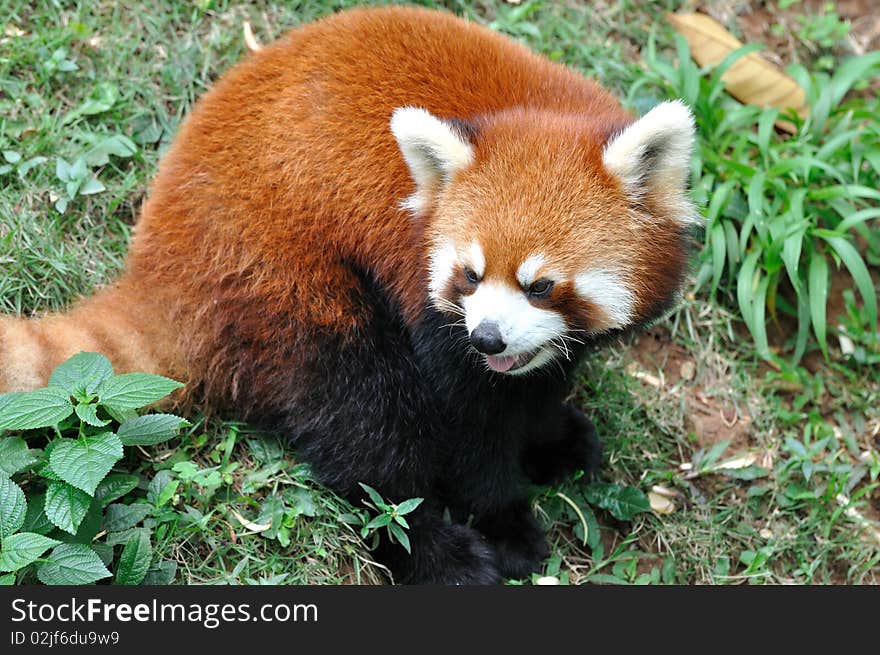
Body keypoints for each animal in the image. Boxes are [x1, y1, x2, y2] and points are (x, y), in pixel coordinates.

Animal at [1, 6, 700, 584]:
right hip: (287, 284)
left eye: (541, 286)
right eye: (470, 276)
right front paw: (505, 522)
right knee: (365, 417)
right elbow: (468, 427)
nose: (487, 337)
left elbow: (541, 382)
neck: (538, 109)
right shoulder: (424, 302)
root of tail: (159, 262)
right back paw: (435, 555)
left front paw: (554, 437)